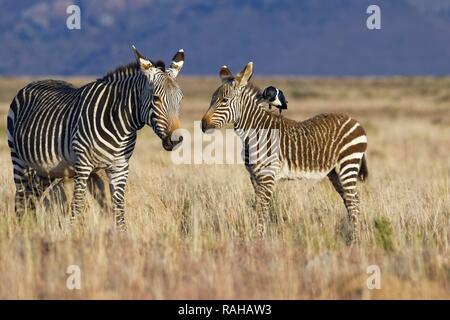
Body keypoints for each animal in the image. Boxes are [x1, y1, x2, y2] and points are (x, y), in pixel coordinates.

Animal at [7, 45, 185, 230]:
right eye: (156, 99)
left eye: (180, 99)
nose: (176, 140)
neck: (120, 124)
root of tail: (33, 82)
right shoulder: (83, 165)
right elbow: (77, 204)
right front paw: (73, 233)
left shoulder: (120, 167)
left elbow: (119, 207)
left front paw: (122, 234)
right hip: (19, 160)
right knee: (20, 196)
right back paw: (21, 229)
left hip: (46, 168)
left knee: (32, 195)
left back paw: (31, 226)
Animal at [202, 63, 368, 241]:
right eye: (212, 99)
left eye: (224, 100)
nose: (203, 125)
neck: (254, 133)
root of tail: (354, 120)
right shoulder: (254, 177)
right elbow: (258, 207)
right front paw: (260, 237)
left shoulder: (267, 175)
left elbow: (262, 209)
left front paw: (258, 239)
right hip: (335, 173)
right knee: (349, 201)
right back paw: (351, 235)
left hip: (348, 164)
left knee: (354, 202)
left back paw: (355, 240)